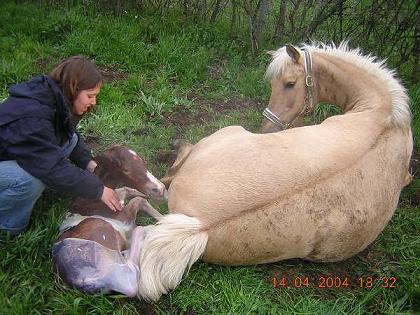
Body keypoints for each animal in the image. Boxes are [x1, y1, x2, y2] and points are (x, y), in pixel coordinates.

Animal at [51, 147, 165, 298]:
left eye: (142, 160)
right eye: (125, 169)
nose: (160, 189)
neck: (93, 201)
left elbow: (126, 190)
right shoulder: (124, 219)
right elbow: (139, 201)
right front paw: (167, 219)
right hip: (113, 265)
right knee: (131, 283)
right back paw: (143, 231)